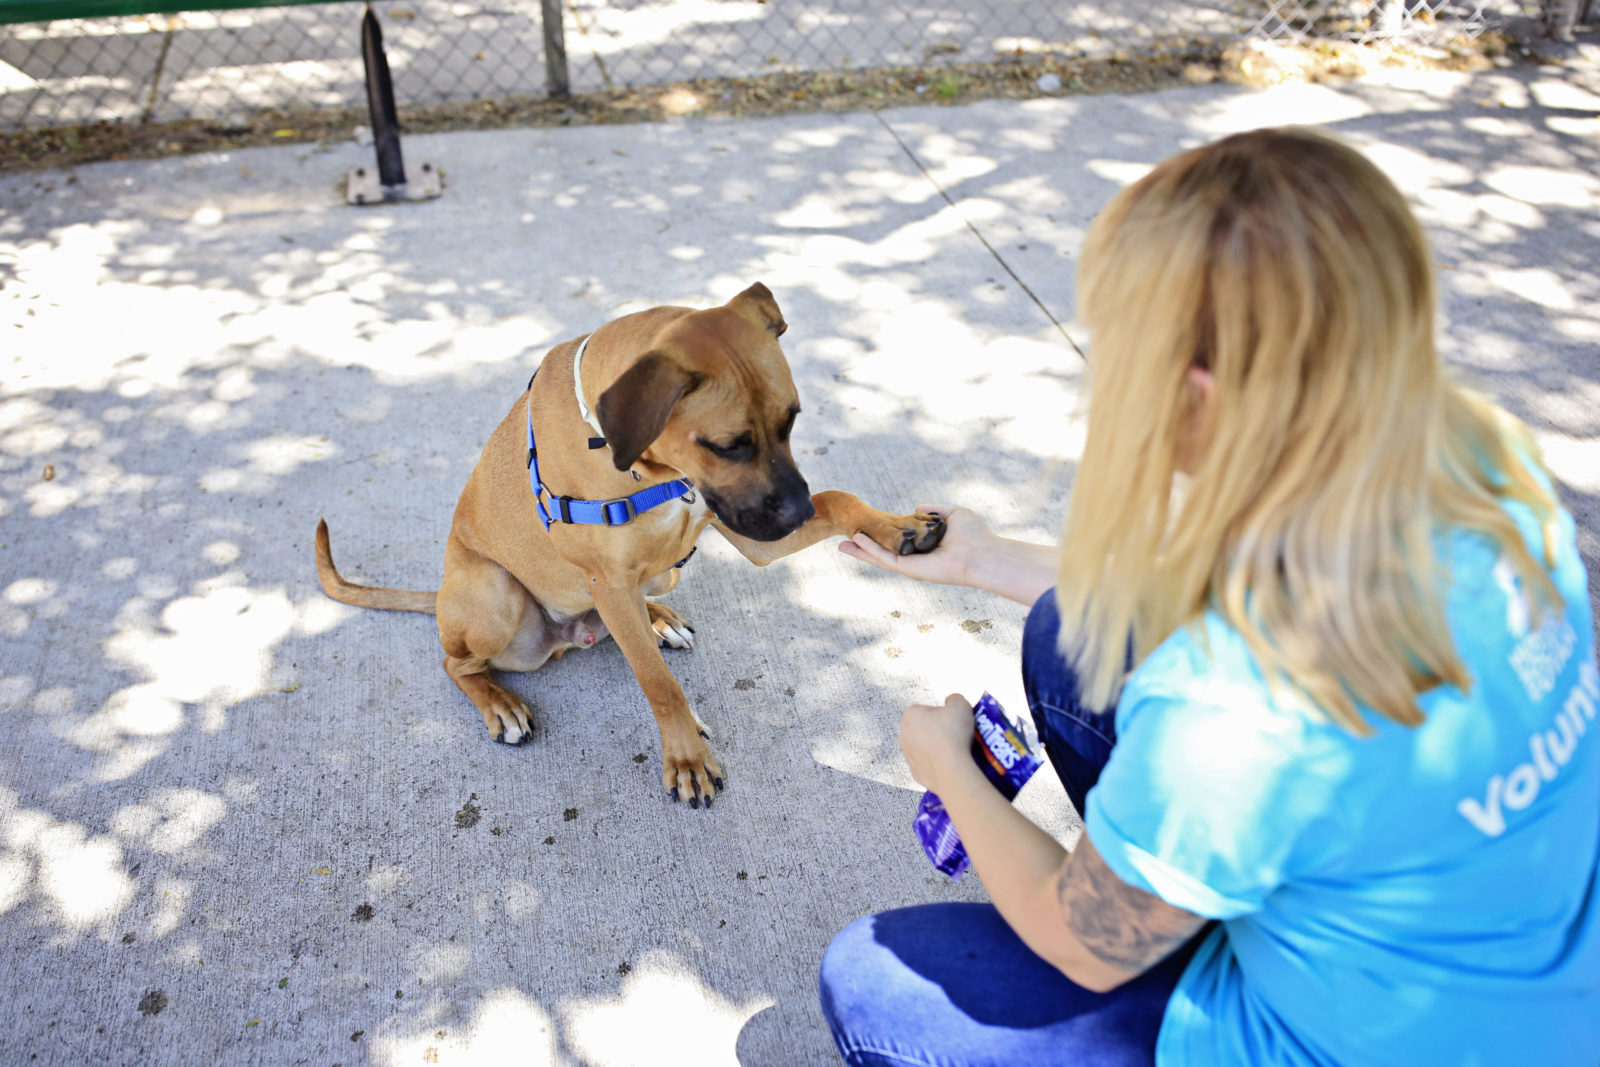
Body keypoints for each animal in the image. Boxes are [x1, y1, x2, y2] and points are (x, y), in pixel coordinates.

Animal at [316, 283, 940, 809]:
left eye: (791, 421)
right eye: (728, 445)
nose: (796, 516)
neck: (645, 465)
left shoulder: (744, 528)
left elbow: (838, 497)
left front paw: (896, 526)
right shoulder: (611, 581)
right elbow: (659, 686)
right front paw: (686, 759)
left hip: (659, 574)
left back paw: (660, 619)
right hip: (496, 598)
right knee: (454, 661)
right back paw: (500, 702)